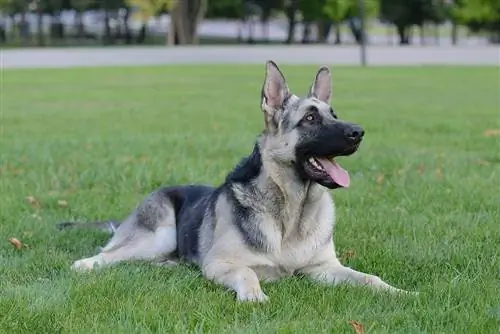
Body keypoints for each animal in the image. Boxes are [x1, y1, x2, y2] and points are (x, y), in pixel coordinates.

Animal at [57, 60, 414, 302]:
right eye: (311, 118)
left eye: (334, 115)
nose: (359, 132)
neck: (292, 214)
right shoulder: (220, 264)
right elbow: (246, 271)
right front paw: (254, 295)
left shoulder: (323, 269)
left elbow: (369, 279)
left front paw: (401, 292)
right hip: (156, 237)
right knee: (106, 256)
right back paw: (85, 266)